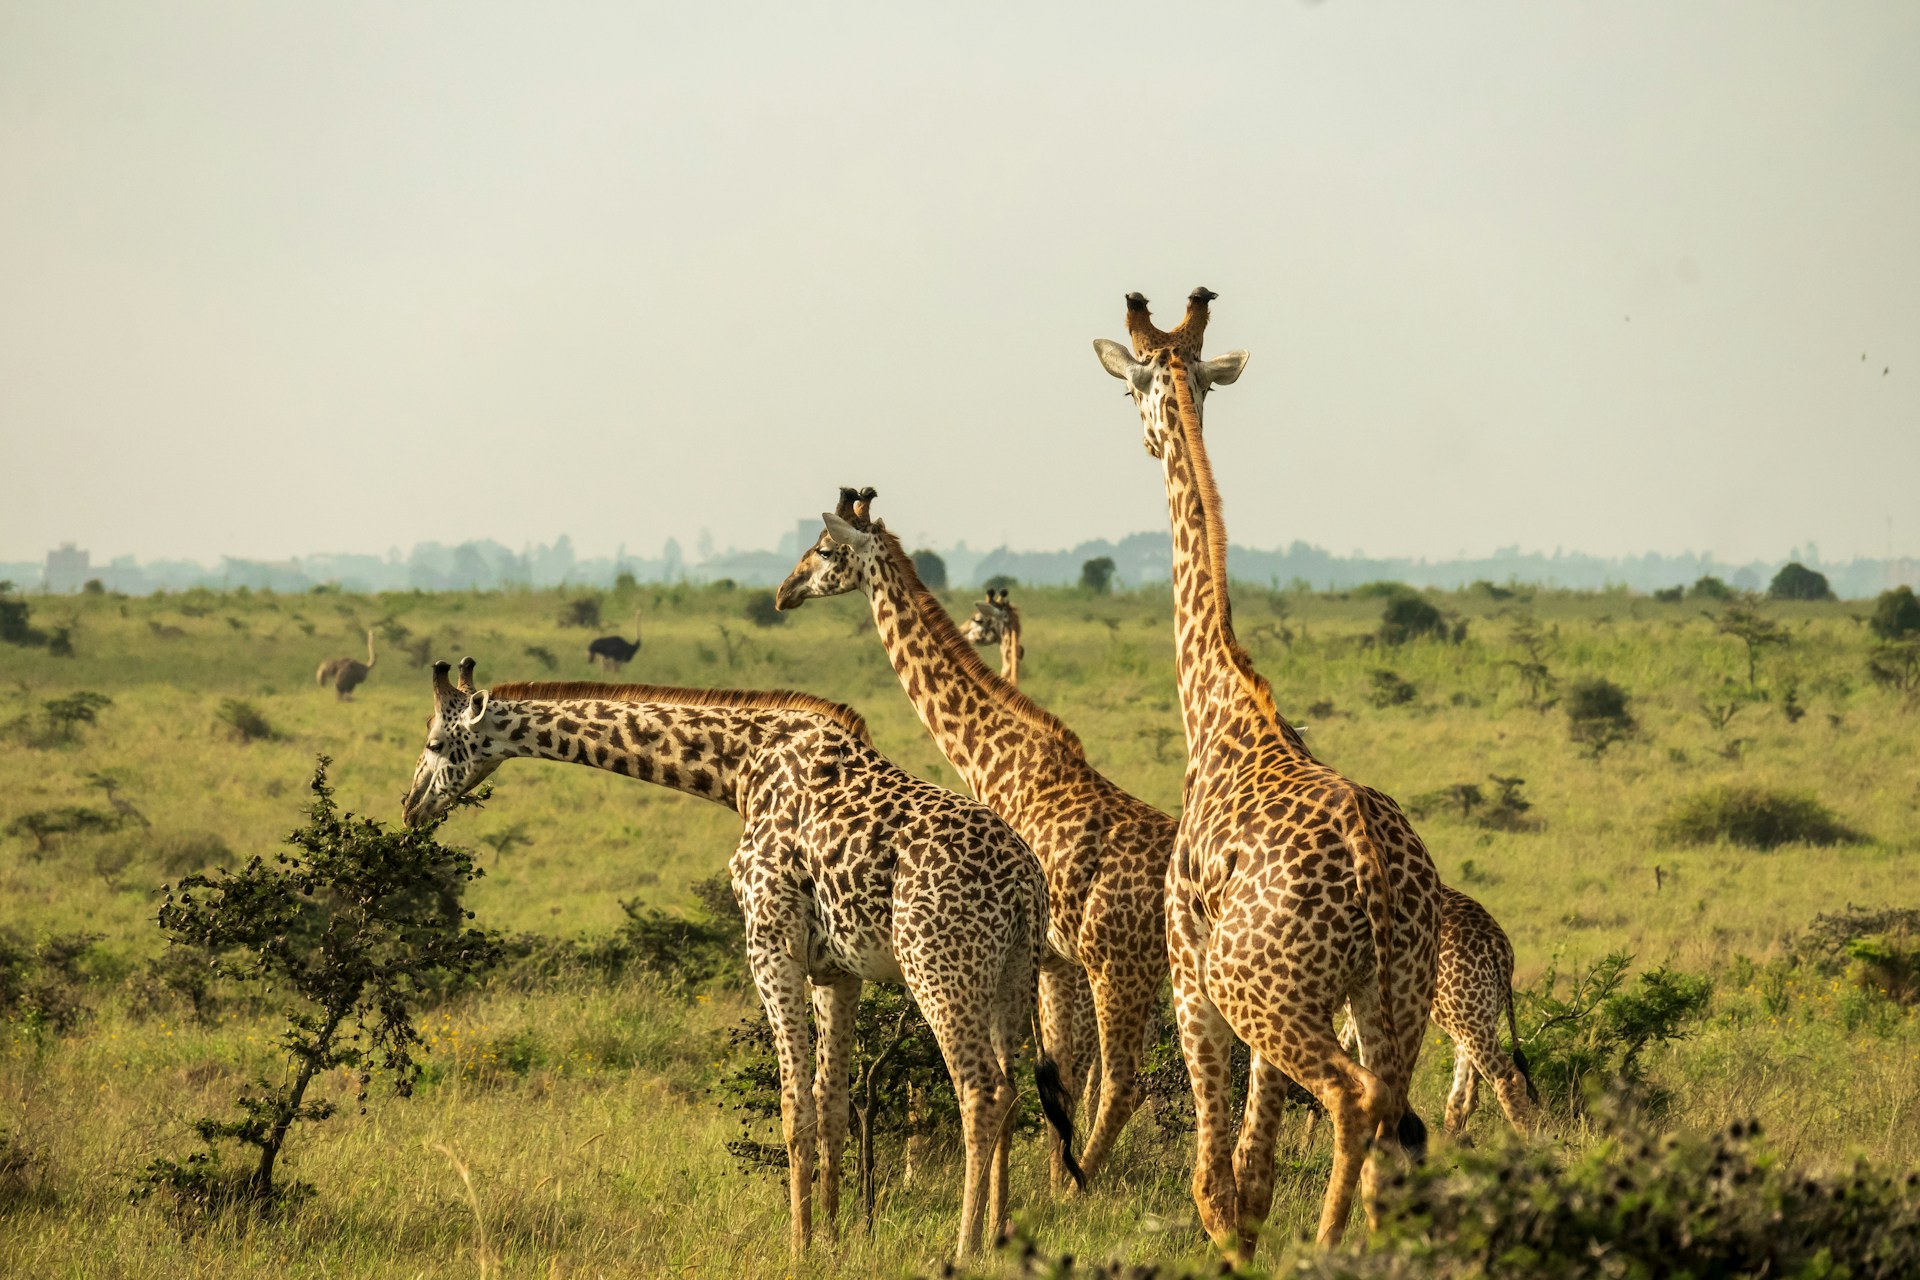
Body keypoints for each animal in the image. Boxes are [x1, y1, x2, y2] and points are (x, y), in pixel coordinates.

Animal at [400, 660, 1080, 1259]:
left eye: (435, 742)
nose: (410, 806)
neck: (739, 769)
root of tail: (1027, 882)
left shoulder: (769, 940)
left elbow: (793, 1106)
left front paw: (798, 1248)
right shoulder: (836, 970)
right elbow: (832, 1104)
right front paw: (833, 1242)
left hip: (937, 964)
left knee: (981, 1091)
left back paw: (963, 1247)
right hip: (1011, 973)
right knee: (1012, 1091)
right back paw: (998, 1236)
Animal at [776, 489, 1173, 1189]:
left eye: (823, 549)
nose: (783, 593)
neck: (993, 758)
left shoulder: (1053, 956)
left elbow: (1056, 1076)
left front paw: (1046, 1187)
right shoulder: (1051, 958)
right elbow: (1053, 1076)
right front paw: (1041, 1181)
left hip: (1122, 970)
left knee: (1124, 1082)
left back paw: (1083, 1190)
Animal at [1091, 288, 1445, 1255]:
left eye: (1129, 387)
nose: (1143, 440)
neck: (1219, 710)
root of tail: (1373, 869)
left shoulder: (1189, 972)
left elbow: (1218, 1181)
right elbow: (1253, 1172)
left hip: (1270, 992)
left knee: (1354, 1101)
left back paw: (1324, 1250)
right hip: (1393, 993)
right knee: (1395, 1124)